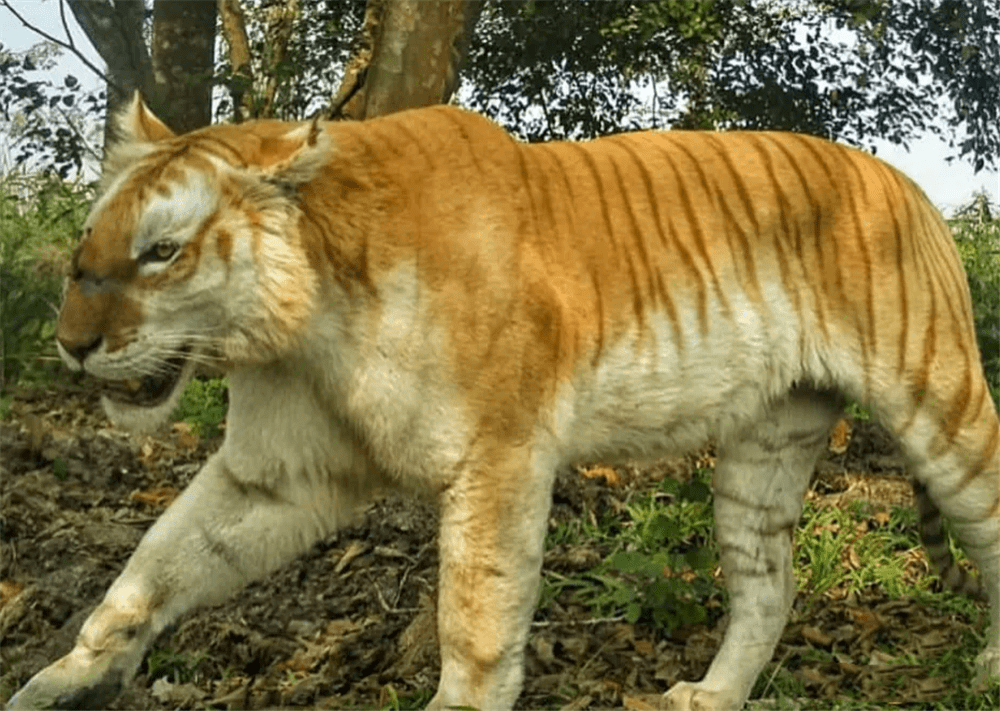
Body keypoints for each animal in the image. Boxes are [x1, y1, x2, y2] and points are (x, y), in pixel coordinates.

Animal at [7, 94, 1000, 711]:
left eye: (161, 252)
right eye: (87, 245)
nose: (71, 342)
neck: (304, 322)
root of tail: (908, 184)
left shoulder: (498, 456)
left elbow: (476, 614)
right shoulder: (273, 474)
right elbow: (152, 568)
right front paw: (63, 677)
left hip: (940, 407)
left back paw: (989, 668)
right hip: (764, 453)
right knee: (768, 590)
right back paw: (711, 694)